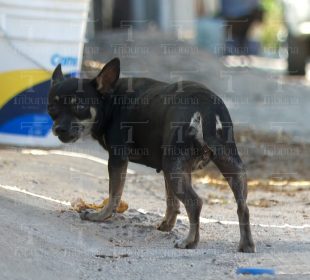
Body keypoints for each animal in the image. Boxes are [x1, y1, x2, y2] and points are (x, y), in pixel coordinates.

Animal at [47, 57, 254, 252]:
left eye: (80, 107)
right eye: (51, 108)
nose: (59, 129)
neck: (109, 100)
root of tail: (205, 107)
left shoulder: (118, 159)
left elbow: (114, 195)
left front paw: (100, 216)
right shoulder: (170, 170)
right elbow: (172, 202)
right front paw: (167, 225)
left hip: (176, 166)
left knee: (195, 202)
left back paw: (189, 241)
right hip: (227, 165)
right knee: (242, 206)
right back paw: (246, 244)